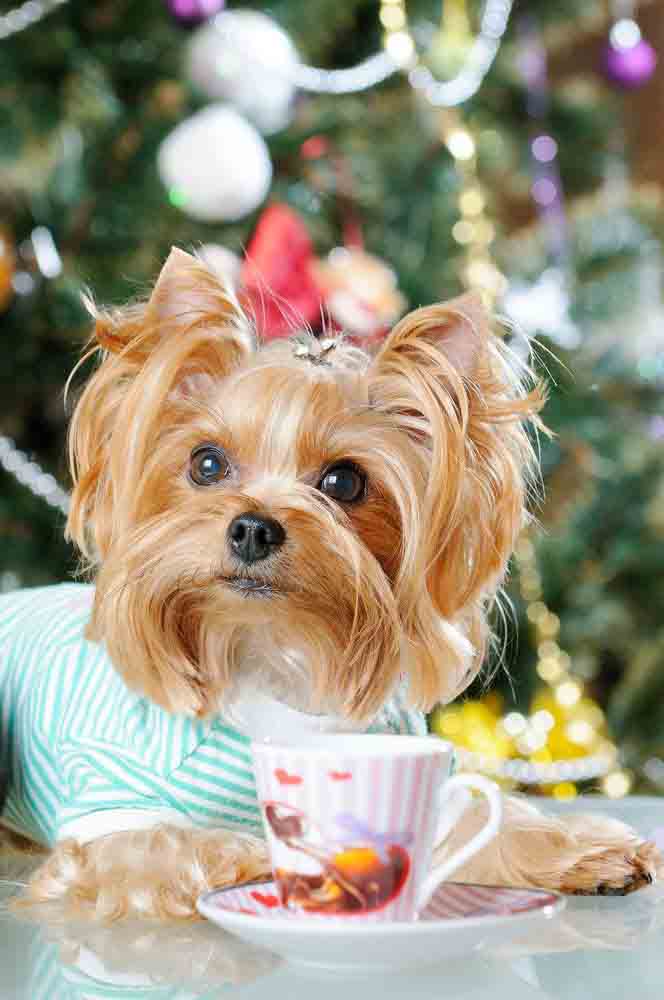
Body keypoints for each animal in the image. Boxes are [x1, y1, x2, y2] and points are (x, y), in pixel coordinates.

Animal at [2, 246, 660, 916]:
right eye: (206, 463)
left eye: (344, 481)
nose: (253, 529)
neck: (270, 649)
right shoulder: (105, 816)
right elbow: (162, 845)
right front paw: (254, 853)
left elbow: (482, 821)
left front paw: (586, 850)